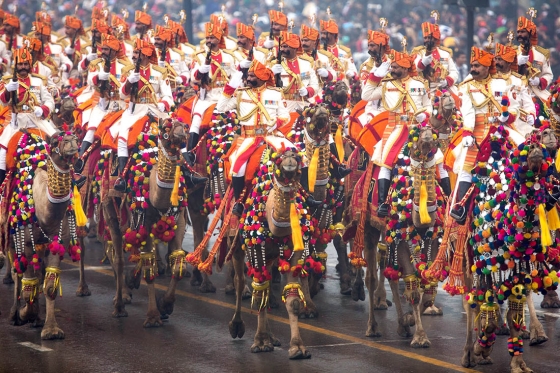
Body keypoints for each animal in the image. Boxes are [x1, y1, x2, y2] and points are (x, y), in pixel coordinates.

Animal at [6, 129, 80, 338]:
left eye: (76, 137)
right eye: (55, 141)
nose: (72, 142)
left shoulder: (58, 241)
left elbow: (49, 286)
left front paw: (51, 329)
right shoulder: (25, 241)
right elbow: (28, 282)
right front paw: (25, 314)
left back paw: (37, 318)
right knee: (16, 272)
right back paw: (14, 314)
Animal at [104, 116, 191, 326]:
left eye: (185, 125)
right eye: (165, 128)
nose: (181, 134)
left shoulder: (178, 220)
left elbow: (178, 263)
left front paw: (166, 306)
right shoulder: (143, 221)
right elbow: (149, 266)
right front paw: (153, 316)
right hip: (109, 209)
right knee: (117, 257)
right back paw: (120, 305)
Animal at [230, 147, 312, 358]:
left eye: (297, 157)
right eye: (279, 160)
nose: (290, 158)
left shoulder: (295, 251)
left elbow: (293, 300)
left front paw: (297, 347)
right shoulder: (256, 248)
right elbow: (259, 294)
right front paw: (259, 342)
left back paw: (272, 338)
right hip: (237, 241)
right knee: (240, 281)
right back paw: (237, 325)